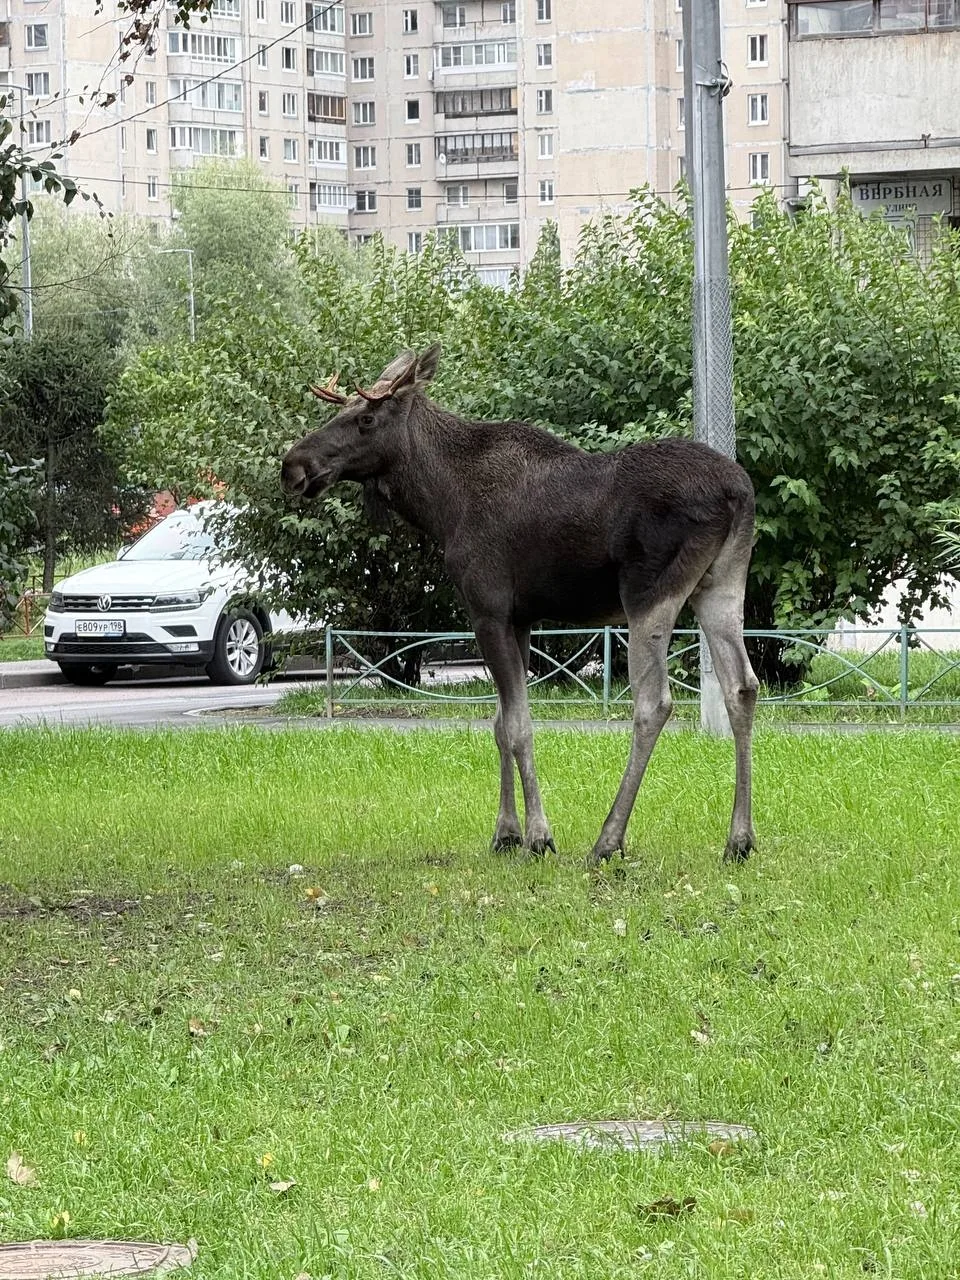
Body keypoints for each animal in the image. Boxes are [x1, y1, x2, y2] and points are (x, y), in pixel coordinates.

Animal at [281, 344, 759, 866]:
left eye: (365, 418)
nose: (293, 466)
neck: (442, 506)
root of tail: (738, 492)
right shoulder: (521, 618)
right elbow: (498, 723)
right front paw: (505, 833)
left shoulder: (486, 609)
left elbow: (518, 727)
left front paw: (538, 836)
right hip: (721, 586)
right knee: (742, 687)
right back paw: (740, 839)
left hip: (649, 595)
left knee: (654, 704)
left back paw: (608, 840)